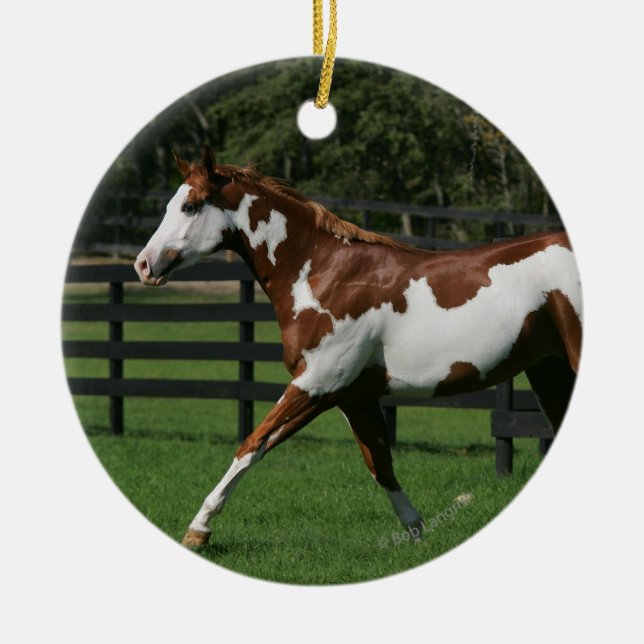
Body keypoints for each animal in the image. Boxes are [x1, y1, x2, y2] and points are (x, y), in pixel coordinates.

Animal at [134, 146, 582, 548]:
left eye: (190, 206)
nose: (143, 265)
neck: (324, 274)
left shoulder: (316, 384)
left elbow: (252, 444)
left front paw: (199, 528)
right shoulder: (352, 396)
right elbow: (380, 464)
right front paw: (416, 534)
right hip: (550, 372)